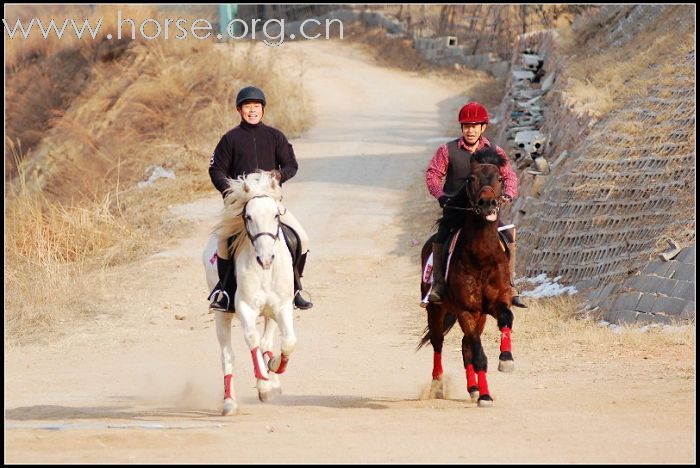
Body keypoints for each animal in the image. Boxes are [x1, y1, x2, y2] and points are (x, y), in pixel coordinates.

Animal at [201, 171, 294, 414]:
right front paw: (263, 384)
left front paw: (273, 367)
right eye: (248, 216)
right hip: (222, 315)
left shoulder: (282, 307)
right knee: (227, 355)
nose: (266, 259)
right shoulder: (245, 307)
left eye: (276, 214)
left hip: (270, 312)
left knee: (267, 341)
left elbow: (288, 342)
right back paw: (229, 402)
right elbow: (251, 340)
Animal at [416, 147, 516, 406]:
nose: (488, 203)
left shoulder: (496, 302)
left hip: (480, 316)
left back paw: (473, 388)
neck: (481, 256)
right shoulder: (466, 310)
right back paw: (438, 386)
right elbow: (479, 354)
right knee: (439, 342)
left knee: (465, 345)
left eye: (500, 178)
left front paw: (506, 359)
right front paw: (486, 396)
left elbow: (506, 318)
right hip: (437, 310)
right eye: (471, 179)